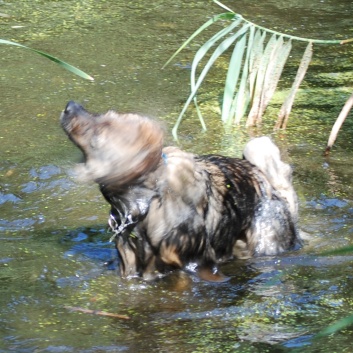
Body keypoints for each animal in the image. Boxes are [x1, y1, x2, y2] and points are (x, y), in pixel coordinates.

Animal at [60, 101, 300, 280]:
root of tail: (271, 188)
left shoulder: (195, 262)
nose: (69, 105)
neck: (147, 201)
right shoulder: (130, 264)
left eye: (104, 127)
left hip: (264, 242)